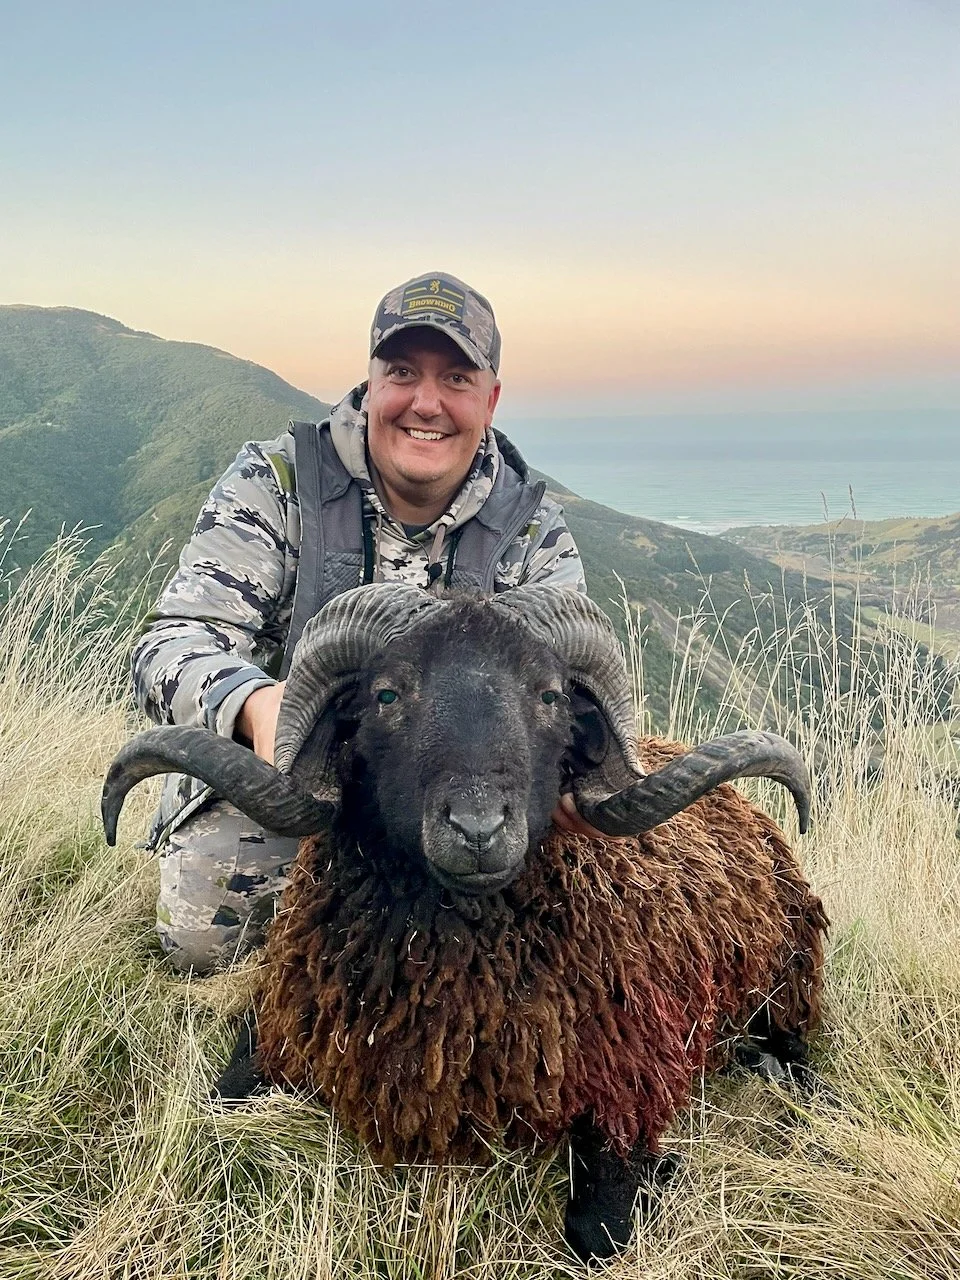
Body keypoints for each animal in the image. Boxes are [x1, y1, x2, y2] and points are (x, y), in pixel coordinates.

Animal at [103, 583, 828, 1265]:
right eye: (387, 694)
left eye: (550, 696)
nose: (478, 829)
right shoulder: (284, 1023)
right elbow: (218, 1104)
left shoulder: (631, 1080)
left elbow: (598, 1233)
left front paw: (664, 1170)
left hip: (782, 988)